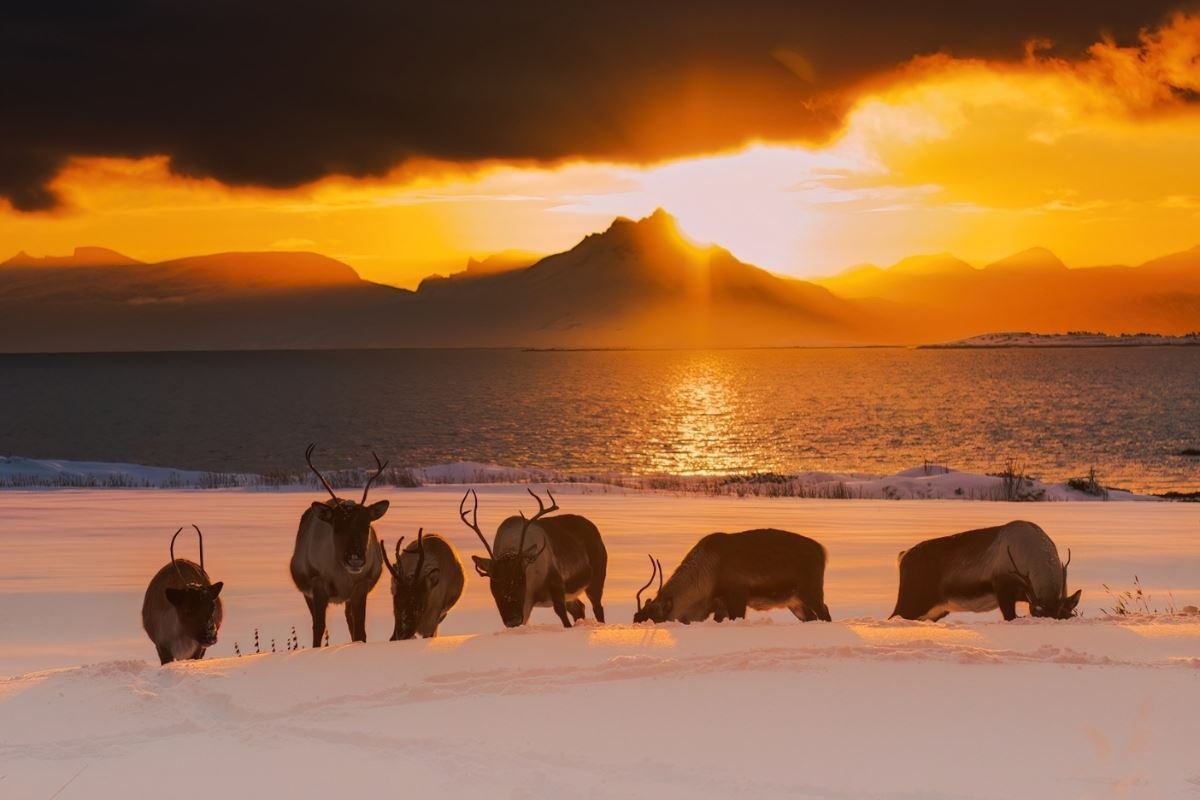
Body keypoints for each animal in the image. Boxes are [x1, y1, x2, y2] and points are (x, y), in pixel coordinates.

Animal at [289, 443, 389, 646]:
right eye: (337, 525)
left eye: (367, 524)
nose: (355, 559)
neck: (341, 576)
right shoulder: (317, 585)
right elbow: (318, 628)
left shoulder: (360, 585)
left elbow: (360, 629)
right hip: (307, 592)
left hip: (348, 598)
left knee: (350, 620)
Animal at [460, 488, 607, 628]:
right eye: (494, 583)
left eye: (520, 580)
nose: (513, 621)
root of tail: (593, 527)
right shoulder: (526, 606)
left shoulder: (557, 584)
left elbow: (563, 617)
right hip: (571, 594)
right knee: (579, 608)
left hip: (596, 578)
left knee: (597, 607)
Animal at [633, 529, 832, 624]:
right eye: (636, 616)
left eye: (654, 616)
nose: (636, 624)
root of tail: (822, 550)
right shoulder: (720, 606)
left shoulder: (737, 596)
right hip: (795, 603)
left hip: (811, 592)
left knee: (825, 613)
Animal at [890, 519, 1081, 621]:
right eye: (1039, 615)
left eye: (1065, 615)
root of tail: (902, 556)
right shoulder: (1002, 587)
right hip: (911, 600)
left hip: (935, 610)